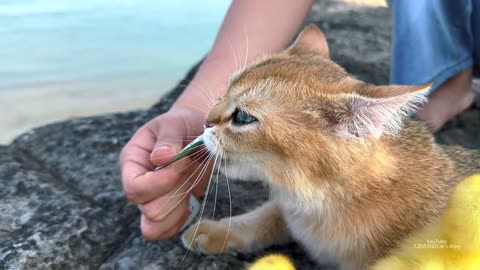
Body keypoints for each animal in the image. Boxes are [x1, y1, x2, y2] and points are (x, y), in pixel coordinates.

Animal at [180, 24, 480, 268]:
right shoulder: (291, 210)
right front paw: (216, 231)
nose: (206, 121)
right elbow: (267, 213)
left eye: (243, 118)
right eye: (225, 89)